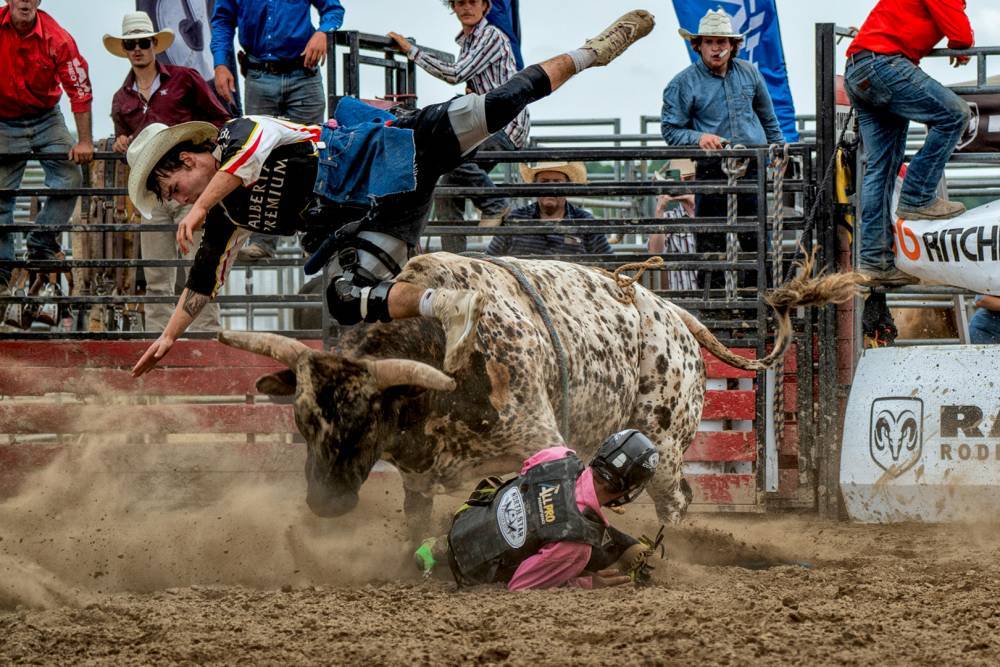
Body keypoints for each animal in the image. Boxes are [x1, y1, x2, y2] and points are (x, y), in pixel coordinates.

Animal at [218, 252, 857, 541]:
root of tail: (675, 316)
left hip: (666, 442)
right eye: (302, 422)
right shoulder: (419, 476)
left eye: (365, 420)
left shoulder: (542, 439)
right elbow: (417, 520)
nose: (324, 504)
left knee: (675, 499)